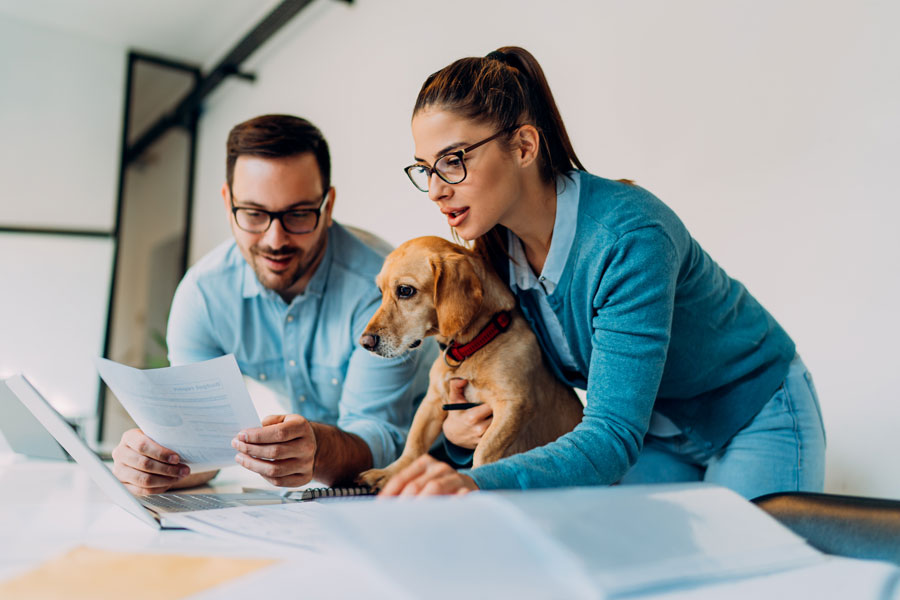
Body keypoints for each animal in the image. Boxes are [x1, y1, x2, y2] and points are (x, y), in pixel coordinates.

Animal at [358, 237, 584, 490]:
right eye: (381, 291)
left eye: (405, 290)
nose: (365, 343)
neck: (474, 345)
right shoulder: (433, 402)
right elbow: (414, 444)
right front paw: (389, 473)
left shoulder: (515, 405)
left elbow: (484, 450)